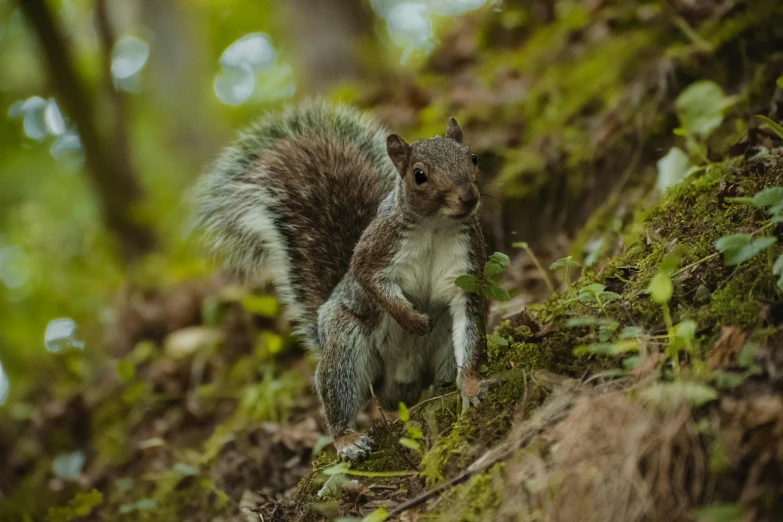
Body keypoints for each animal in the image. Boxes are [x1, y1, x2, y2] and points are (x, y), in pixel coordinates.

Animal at [196, 99, 486, 458]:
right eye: (419, 175)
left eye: (472, 158)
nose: (468, 196)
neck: (435, 225)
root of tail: (397, 389)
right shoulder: (376, 250)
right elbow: (369, 281)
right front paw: (411, 319)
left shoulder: (467, 269)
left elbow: (471, 330)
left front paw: (471, 387)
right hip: (344, 346)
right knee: (341, 398)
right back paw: (348, 439)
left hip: (442, 341)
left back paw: (442, 391)